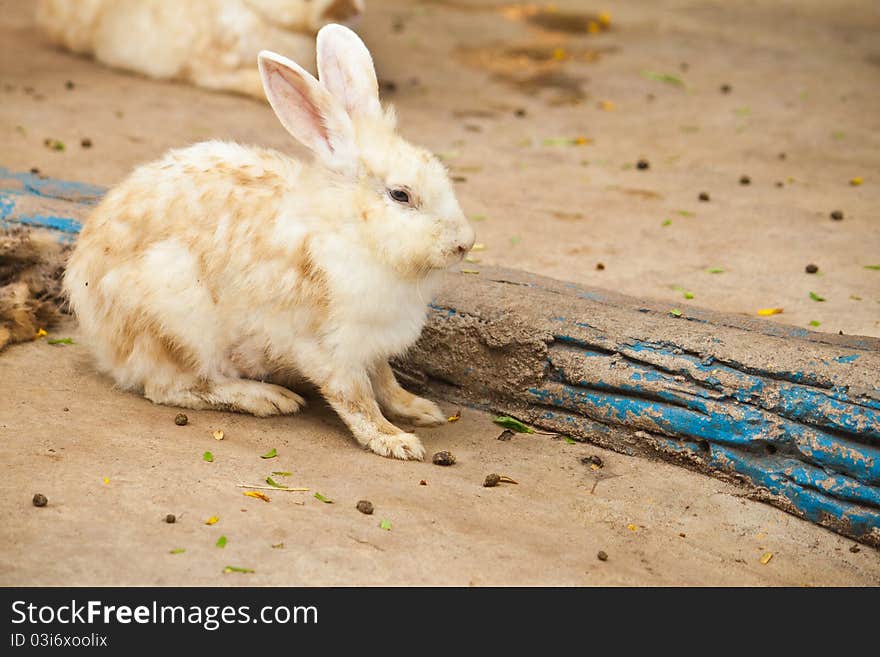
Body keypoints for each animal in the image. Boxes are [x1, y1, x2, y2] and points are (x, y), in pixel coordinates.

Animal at [63, 23, 474, 458]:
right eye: (400, 195)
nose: (465, 243)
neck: (349, 229)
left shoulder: (371, 346)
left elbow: (385, 381)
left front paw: (421, 409)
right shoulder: (329, 349)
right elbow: (356, 398)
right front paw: (395, 441)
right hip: (175, 321)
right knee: (173, 387)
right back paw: (268, 399)